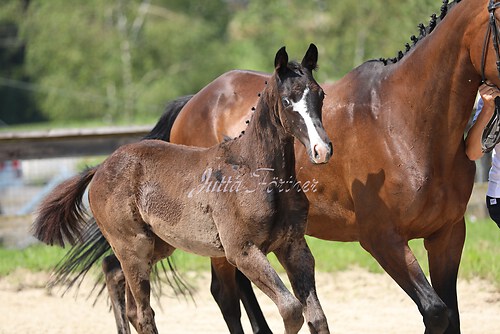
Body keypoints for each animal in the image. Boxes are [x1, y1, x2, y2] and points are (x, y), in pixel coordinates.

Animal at [32, 45, 332, 334]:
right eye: (287, 101)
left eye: (321, 95)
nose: (322, 149)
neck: (253, 169)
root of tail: (101, 168)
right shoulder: (242, 251)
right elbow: (291, 310)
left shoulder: (293, 246)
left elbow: (317, 318)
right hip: (132, 247)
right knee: (142, 311)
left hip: (157, 244)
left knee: (121, 286)